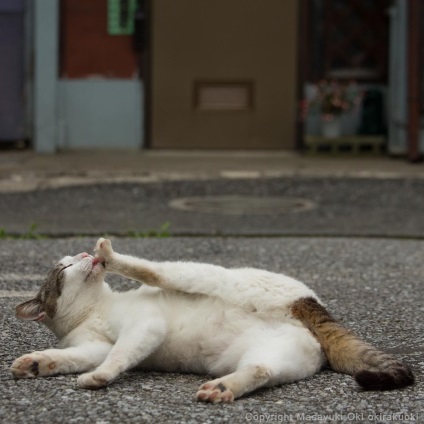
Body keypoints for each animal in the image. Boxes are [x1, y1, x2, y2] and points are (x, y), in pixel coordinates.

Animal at [10, 237, 414, 402]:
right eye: (64, 269)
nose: (83, 255)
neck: (93, 311)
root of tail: (309, 304)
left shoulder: (144, 327)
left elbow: (119, 354)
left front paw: (100, 377)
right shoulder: (91, 346)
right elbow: (68, 358)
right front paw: (35, 364)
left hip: (205, 275)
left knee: (155, 271)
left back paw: (110, 254)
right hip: (273, 355)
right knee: (261, 369)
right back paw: (222, 389)